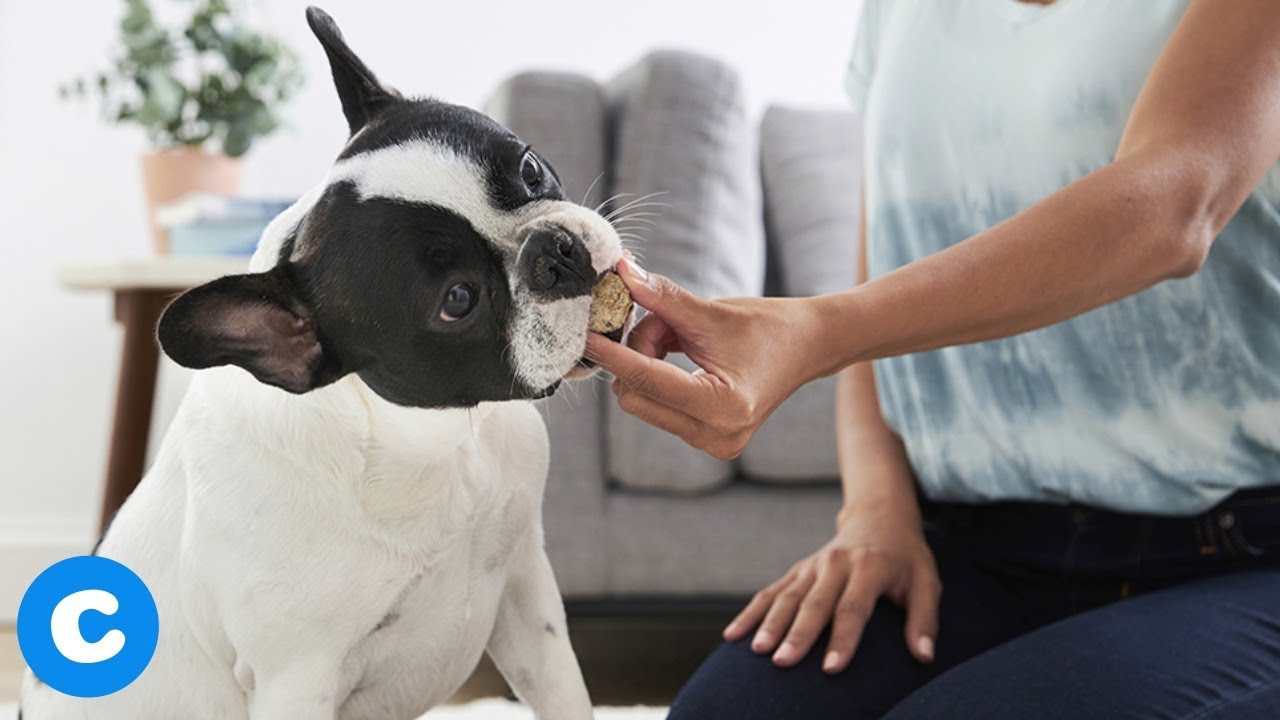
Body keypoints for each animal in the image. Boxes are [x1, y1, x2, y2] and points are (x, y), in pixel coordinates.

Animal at [18, 7, 619, 717]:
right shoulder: (297, 678)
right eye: (458, 300)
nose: (556, 252)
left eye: (528, 169)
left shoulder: (528, 595)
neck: (427, 441)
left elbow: (565, 694)